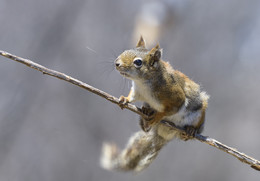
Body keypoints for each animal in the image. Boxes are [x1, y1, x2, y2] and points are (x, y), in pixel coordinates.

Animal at [99, 36, 209, 171]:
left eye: (138, 62)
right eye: (125, 50)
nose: (117, 63)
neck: (142, 82)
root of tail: (163, 135)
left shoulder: (175, 96)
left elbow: (171, 109)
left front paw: (158, 116)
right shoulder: (137, 92)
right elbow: (132, 97)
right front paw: (125, 99)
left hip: (199, 115)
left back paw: (190, 130)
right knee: (145, 128)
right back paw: (146, 114)